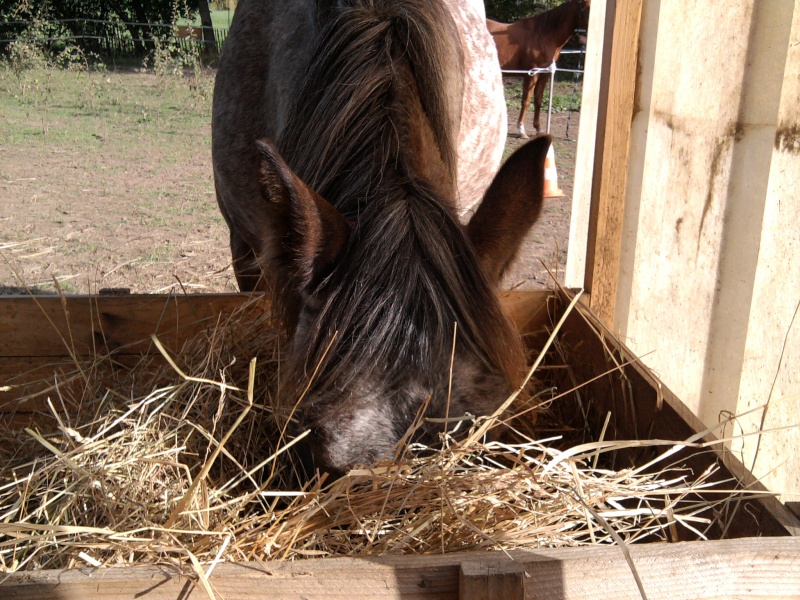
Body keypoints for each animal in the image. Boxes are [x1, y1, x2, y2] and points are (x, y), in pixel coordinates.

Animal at [484, 0, 592, 137]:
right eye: (587, 7)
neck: (543, 36)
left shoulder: (544, 75)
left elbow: (538, 100)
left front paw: (539, 129)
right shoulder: (531, 75)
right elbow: (526, 101)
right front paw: (521, 130)